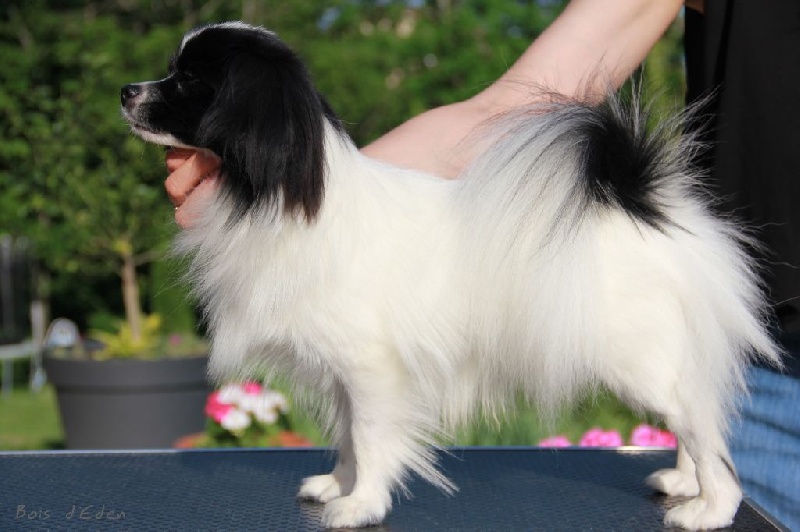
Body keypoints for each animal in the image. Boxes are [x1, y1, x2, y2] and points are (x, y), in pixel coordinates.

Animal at [121, 22, 781, 530]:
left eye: (188, 82)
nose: (127, 90)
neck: (284, 199)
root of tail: (645, 206)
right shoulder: (345, 378)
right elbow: (347, 440)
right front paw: (338, 487)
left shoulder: (372, 371)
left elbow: (370, 440)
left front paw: (360, 507)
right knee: (697, 419)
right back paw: (685, 483)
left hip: (642, 363)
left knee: (706, 433)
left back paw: (710, 508)